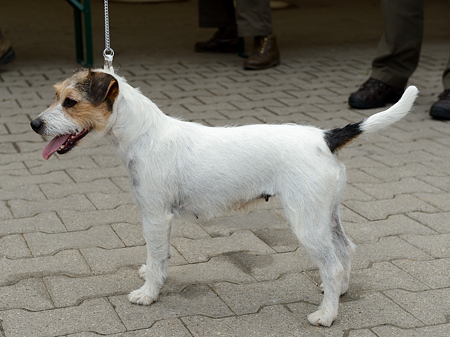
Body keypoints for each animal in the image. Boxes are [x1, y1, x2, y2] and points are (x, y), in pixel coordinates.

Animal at [30, 69, 418, 326]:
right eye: (55, 95)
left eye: (71, 102)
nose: (34, 124)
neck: (144, 134)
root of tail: (326, 137)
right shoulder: (159, 219)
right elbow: (159, 256)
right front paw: (154, 277)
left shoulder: (154, 215)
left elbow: (156, 259)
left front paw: (148, 293)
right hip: (326, 215)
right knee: (345, 251)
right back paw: (339, 292)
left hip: (307, 222)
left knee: (333, 263)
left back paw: (326, 314)